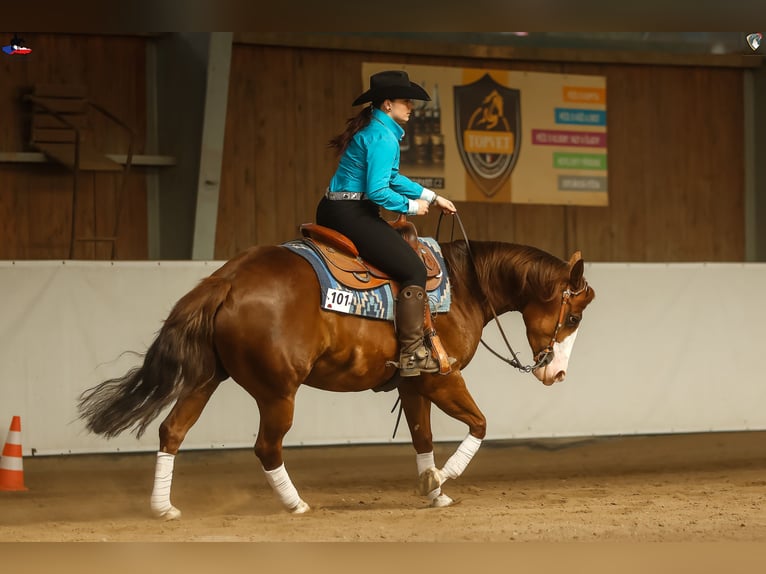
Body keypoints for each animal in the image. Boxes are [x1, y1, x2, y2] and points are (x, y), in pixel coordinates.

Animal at [77, 228, 595, 518]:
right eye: (572, 317)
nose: (557, 374)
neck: (465, 284)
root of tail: (227, 279)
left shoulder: (414, 383)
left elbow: (422, 437)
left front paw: (433, 491)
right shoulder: (442, 378)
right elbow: (480, 425)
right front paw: (441, 480)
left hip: (205, 379)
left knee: (172, 430)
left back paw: (163, 507)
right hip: (277, 392)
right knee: (267, 446)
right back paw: (296, 504)